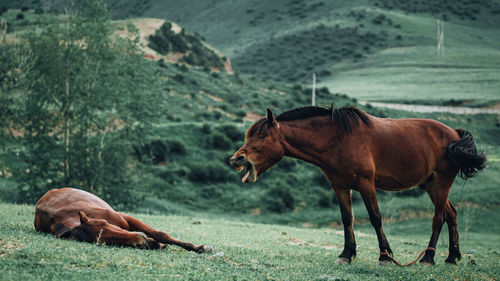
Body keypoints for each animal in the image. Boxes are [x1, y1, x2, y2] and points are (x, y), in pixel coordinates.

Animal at [34, 188, 212, 252]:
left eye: (104, 223)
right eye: (102, 242)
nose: (140, 240)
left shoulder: (126, 217)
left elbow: (161, 234)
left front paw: (199, 247)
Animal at [229, 105, 484, 264]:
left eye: (262, 137)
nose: (236, 159)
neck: (338, 139)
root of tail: (454, 133)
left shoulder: (366, 185)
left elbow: (375, 218)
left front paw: (385, 256)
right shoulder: (340, 186)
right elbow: (346, 219)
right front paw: (346, 254)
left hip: (441, 183)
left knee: (438, 218)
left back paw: (428, 259)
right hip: (430, 185)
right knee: (452, 214)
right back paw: (452, 257)